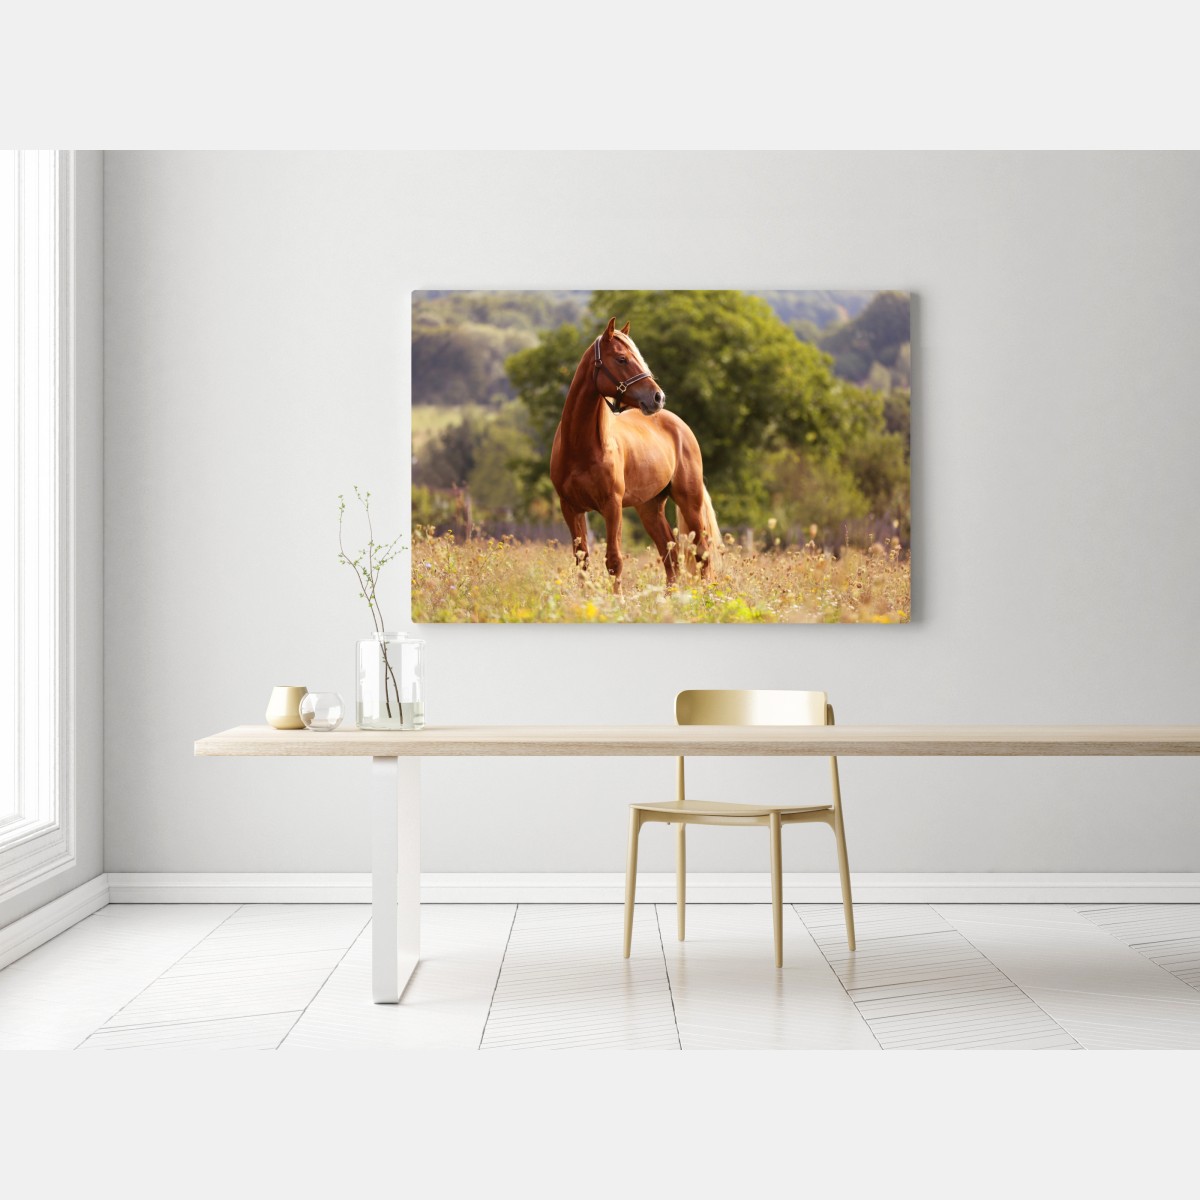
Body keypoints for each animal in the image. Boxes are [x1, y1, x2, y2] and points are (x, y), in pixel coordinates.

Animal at [549, 317, 721, 591]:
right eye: (621, 359)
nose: (658, 397)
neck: (580, 448)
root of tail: (679, 425)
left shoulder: (612, 506)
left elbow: (614, 560)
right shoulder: (571, 508)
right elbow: (582, 562)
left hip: (689, 500)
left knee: (701, 552)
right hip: (649, 508)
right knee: (670, 556)